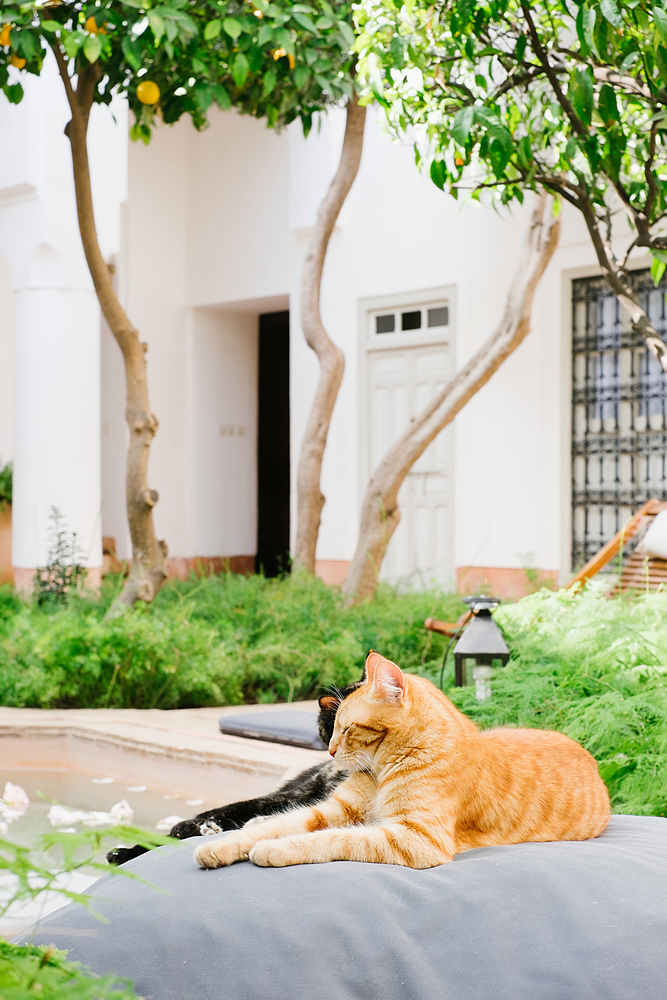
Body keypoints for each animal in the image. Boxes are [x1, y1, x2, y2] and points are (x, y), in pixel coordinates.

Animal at [194, 652, 612, 872]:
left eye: (345, 728)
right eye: (331, 728)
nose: (329, 753)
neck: (380, 770)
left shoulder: (414, 837)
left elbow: (330, 838)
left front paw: (274, 850)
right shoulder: (333, 809)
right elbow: (273, 827)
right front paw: (221, 845)